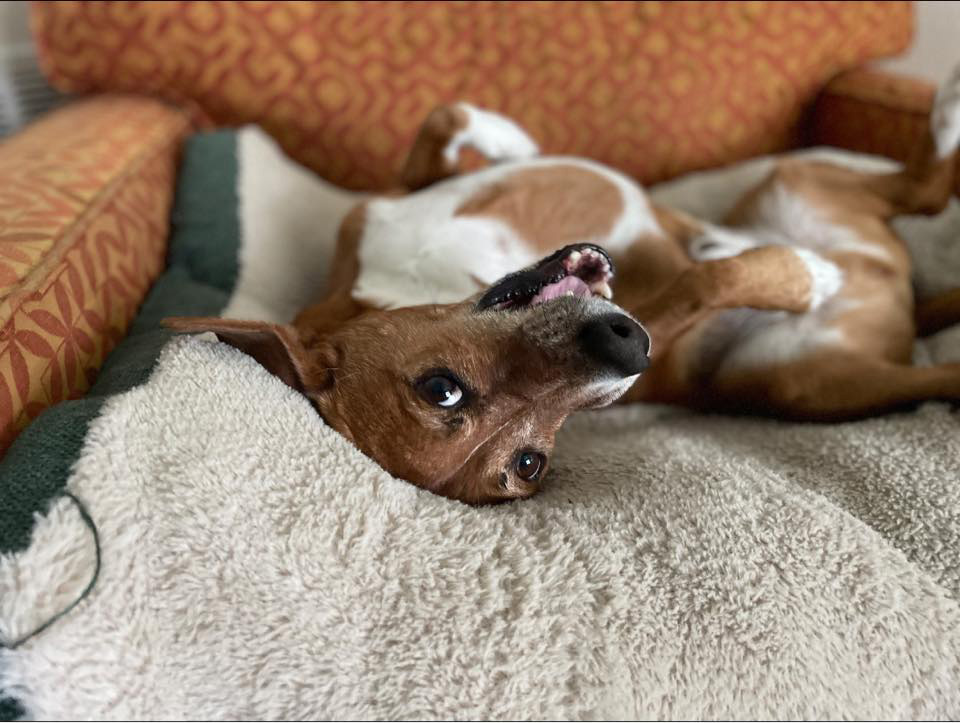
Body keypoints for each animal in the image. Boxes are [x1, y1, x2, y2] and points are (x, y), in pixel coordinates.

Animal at [169, 63, 960, 504]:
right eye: (529, 463)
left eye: (439, 387)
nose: (627, 349)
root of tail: (900, 301)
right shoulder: (656, 324)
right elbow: (704, 283)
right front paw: (794, 275)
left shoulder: (392, 202)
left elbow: (445, 118)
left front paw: (510, 140)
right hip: (811, 379)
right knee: (922, 208)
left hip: (801, 179)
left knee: (918, 191)